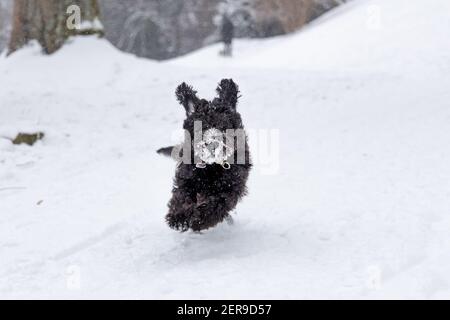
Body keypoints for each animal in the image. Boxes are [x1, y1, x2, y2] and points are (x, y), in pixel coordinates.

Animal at [158, 79, 251, 231]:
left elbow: (217, 204)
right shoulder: (186, 180)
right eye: (200, 127)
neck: (210, 167)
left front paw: (200, 220)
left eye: (224, 126)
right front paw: (179, 217)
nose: (211, 144)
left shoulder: (231, 187)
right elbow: (181, 196)